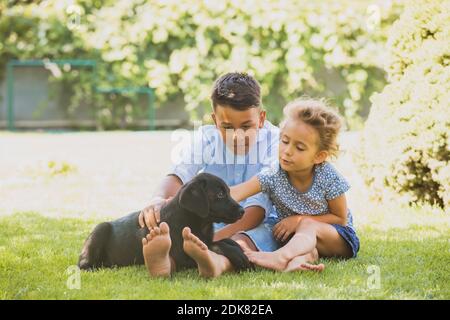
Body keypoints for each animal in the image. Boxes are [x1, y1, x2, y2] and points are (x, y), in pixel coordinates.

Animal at [79, 172, 251, 272]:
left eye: (228, 192)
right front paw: (239, 256)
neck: (199, 223)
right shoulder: (183, 255)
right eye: (220, 194)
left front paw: (240, 250)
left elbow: (225, 240)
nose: (242, 211)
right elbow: (215, 245)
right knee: (82, 263)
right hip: (100, 229)